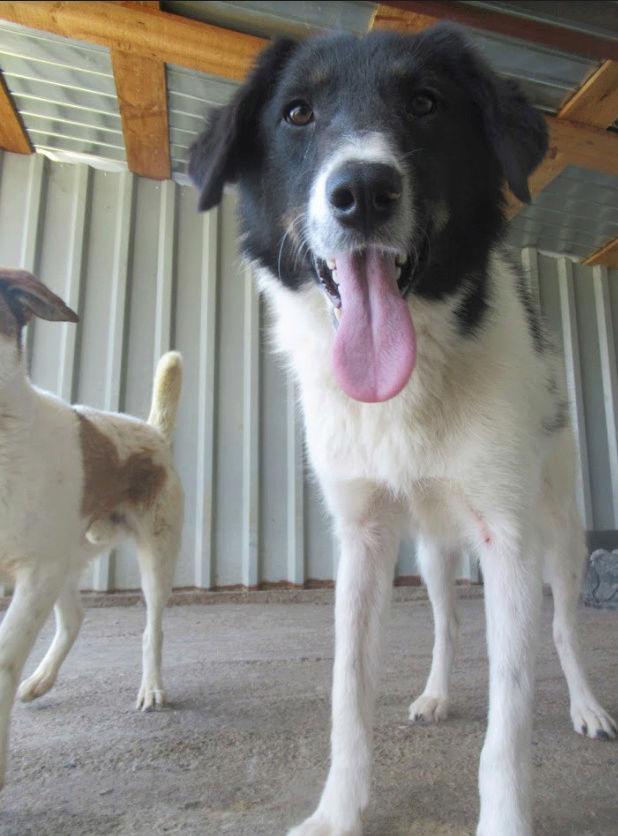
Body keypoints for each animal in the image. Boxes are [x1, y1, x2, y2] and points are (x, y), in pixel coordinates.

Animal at [0, 272, 183, 788]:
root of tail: (152, 433)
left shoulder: (36, 571)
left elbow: (3, 660)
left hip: (154, 559)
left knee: (153, 630)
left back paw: (152, 688)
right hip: (65, 556)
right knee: (75, 618)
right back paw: (41, 680)